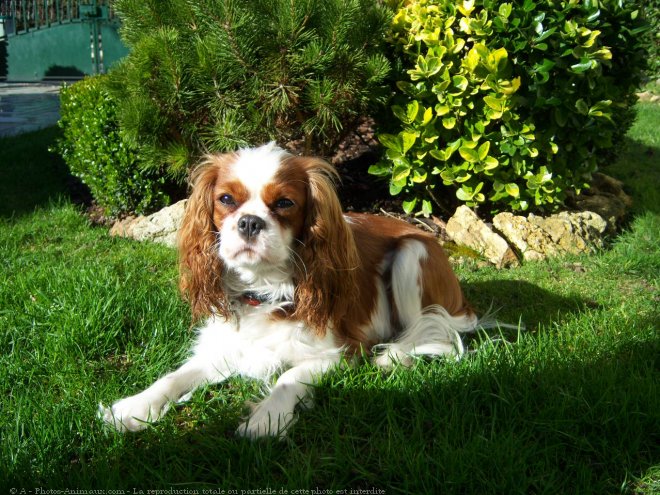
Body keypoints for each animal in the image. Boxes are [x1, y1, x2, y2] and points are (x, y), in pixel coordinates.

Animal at [98, 142, 476, 438]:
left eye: (284, 203)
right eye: (226, 199)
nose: (250, 222)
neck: (263, 289)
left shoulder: (338, 352)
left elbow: (290, 376)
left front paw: (266, 418)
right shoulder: (222, 349)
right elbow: (173, 377)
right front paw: (133, 407)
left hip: (412, 254)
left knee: (432, 332)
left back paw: (392, 355)